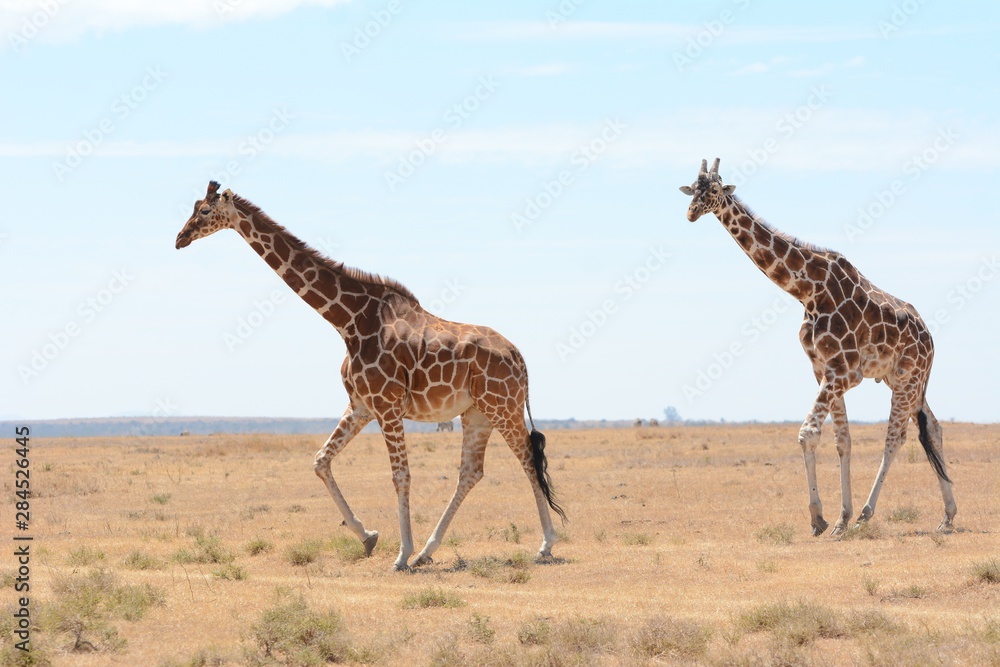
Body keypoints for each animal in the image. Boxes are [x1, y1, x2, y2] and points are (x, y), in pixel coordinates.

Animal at [176, 181, 565, 570]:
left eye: (205, 211)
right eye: (193, 207)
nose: (180, 238)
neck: (349, 321)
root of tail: (519, 357)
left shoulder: (388, 406)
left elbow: (400, 475)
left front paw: (401, 553)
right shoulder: (361, 405)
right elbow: (321, 461)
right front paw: (369, 537)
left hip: (503, 406)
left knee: (528, 459)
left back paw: (544, 544)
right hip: (477, 412)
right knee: (471, 472)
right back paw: (428, 551)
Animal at [679, 159, 956, 536]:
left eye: (717, 190)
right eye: (693, 189)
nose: (692, 213)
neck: (808, 291)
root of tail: (930, 338)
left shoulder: (842, 372)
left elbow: (808, 433)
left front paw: (820, 517)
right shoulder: (821, 369)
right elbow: (842, 440)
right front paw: (839, 517)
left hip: (908, 377)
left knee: (895, 437)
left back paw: (868, 513)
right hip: (902, 379)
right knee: (934, 428)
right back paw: (948, 516)